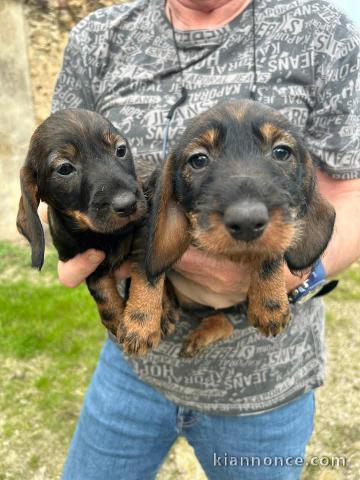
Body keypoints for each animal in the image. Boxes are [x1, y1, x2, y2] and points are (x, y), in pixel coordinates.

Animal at [17, 109, 167, 356]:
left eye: (121, 150)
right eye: (65, 168)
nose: (127, 205)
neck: (102, 234)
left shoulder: (149, 232)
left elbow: (147, 275)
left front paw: (140, 323)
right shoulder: (85, 259)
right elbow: (100, 289)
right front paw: (115, 317)